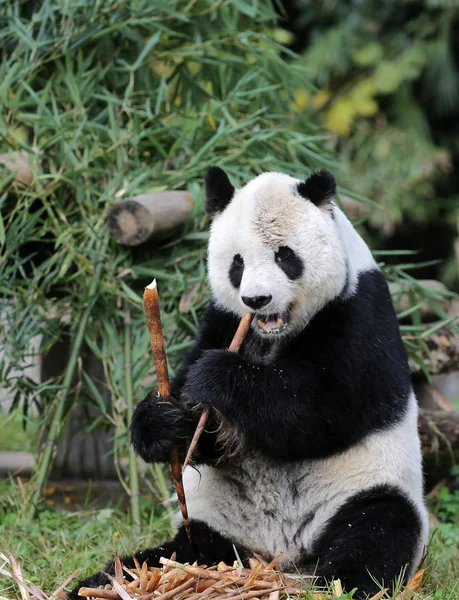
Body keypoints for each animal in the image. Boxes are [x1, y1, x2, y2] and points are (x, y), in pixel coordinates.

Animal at [71, 168, 428, 600]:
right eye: (237, 264)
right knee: (178, 553)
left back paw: (341, 582)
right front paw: (164, 421)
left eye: (286, 257)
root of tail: (280, 558)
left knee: (377, 530)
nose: (257, 300)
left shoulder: (360, 312)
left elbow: (321, 407)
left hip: (363, 488)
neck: (272, 335)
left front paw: (219, 376)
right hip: (218, 526)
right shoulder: (221, 318)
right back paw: (99, 584)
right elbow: (204, 439)